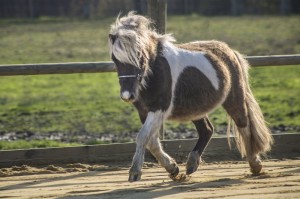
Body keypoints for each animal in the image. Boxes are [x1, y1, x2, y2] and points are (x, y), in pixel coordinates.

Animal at [108, 11, 274, 182]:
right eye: (114, 58)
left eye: (139, 56)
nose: (127, 95)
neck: (154, 71)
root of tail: (230, 51)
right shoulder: (144, 111)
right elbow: (152, 142)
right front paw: (173, 168)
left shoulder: (159, 108)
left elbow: (142, 137)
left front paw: (135, 172)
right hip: (196, 109)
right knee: (207, 130)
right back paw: (192, 163)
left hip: (234, 99)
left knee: (244, 125)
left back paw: (255, 164)